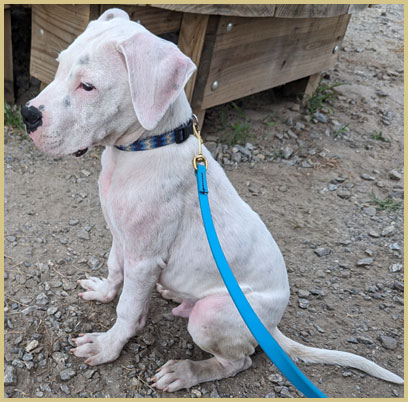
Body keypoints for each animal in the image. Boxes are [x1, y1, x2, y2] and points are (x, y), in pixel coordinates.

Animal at [23, 7, 404, 392]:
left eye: (88, 86)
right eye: (58, 65)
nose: (27, 114)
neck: (144, 148)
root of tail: (270, 327)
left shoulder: (144, 258)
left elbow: (128, 310)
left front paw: (106, 347)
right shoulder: (122, 237)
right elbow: (115, 270)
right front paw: (102, 292)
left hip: (212, 315)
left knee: (238, 361)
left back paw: (185, 372)